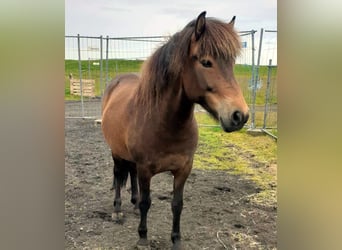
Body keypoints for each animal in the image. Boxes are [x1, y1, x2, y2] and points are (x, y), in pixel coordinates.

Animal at [101, 11, 248, 250]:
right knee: (118, 175)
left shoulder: (183, 169)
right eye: (206, 62)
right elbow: (147, 201)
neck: (166, 125)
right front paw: (142, 237)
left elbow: (177, 204)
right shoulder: (145, 169)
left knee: (130, 174)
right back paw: (118, 209)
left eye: (231, 63)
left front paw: (176, 240)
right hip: (116, 152)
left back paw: (132, 204)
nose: (239, 115)